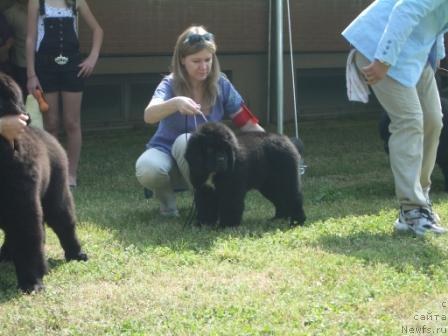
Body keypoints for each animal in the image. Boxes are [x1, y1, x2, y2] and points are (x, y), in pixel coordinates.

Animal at [0, 73, 87, 292]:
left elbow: (28, 242)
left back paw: (76, 254)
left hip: (56, 194)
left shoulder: (21, 207)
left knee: (65, 223)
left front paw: (31, 282)